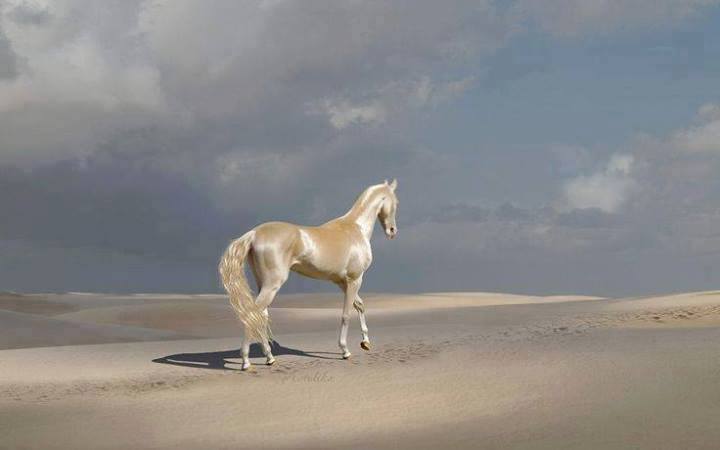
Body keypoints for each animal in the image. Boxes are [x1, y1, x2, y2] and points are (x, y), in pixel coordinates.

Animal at [219, 179, 399, 370]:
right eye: (395, 203)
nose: (392, 231)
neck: (355, 229)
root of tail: (254, 234)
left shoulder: (343, 282)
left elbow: (360, 305)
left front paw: (365, 342)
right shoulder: (355, 280)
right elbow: (346, 314)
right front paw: (345, 350)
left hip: (263, 284)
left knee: (260, 316)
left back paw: (269, 357)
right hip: (272, 285)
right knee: (253, 314)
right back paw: (246, 361)